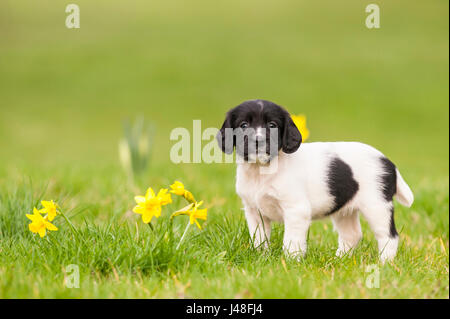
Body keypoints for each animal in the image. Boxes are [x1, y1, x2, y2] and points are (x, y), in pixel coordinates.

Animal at [216, 99, 414, 262]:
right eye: (243, 125)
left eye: (272, 125)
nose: (258, 141)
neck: (262, 170)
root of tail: (388, 162)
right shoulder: (254, 211)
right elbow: (259, 238)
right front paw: (261, 256)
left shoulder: (296, 210)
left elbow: (292, 240)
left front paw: (290, 261)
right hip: (344, 210)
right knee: (352, 235)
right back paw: (339, 260)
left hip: (377, 206)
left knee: (388, 236)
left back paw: (384, 264)